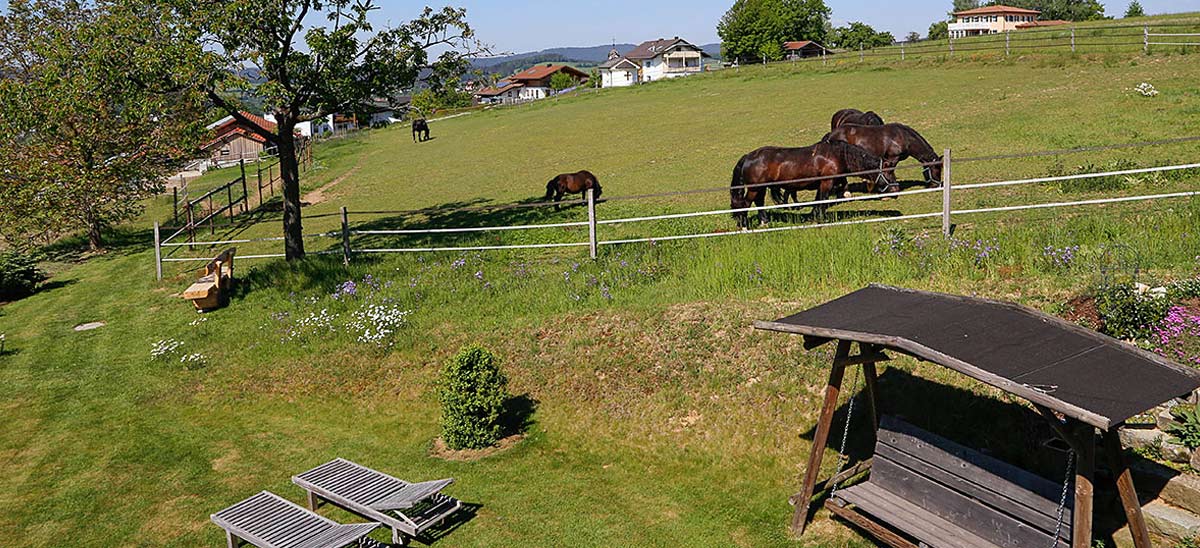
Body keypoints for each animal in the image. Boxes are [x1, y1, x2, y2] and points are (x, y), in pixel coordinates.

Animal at [729, 140, 902, 229]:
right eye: (889, 173)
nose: (896, 190)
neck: (838, 155)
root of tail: (748, 156)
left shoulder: (821, 184)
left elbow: (818, 202)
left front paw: (813, 217)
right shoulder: (827, 182)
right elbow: (823, 201)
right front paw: (821, 220)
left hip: (760, 188)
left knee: (759, 202)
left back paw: (764, 222)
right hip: (754, 188)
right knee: (745, 204)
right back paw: (744, 226)